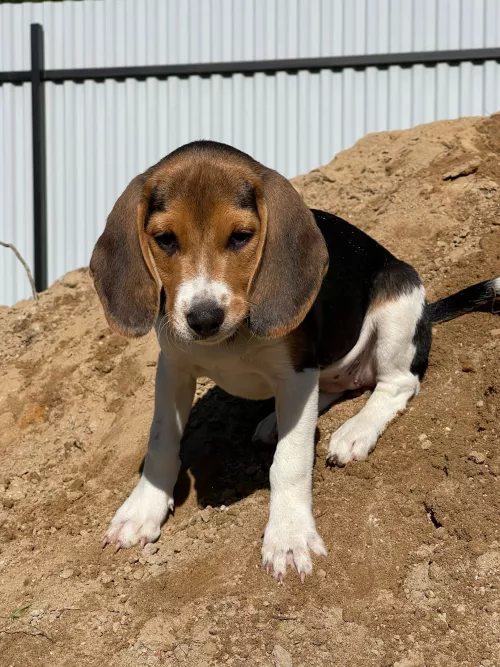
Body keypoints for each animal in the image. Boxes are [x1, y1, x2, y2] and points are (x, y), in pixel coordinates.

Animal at [91, 142, 500, 584]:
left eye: (241, 237)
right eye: (165, 240)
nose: (203, 319)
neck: (230, 339)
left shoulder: (297, 371)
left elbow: (290, 460)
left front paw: (289, 536)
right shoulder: (174, 368)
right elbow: (161, 441)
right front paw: (142, 508)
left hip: (398, 298)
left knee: (396, 383)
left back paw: (355, 431)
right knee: (332, 389)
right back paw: (277, 421)